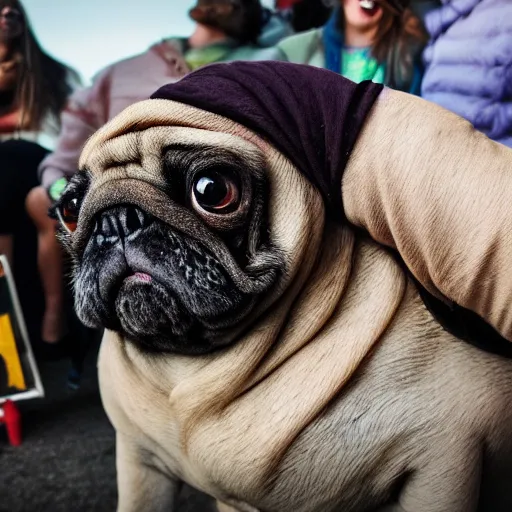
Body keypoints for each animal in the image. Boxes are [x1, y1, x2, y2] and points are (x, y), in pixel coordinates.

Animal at [52, 62, 512, 510]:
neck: (196, 368)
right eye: (69, 208)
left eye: (212, 189)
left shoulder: (442, 464)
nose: (116, 219)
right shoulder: (140, 464)